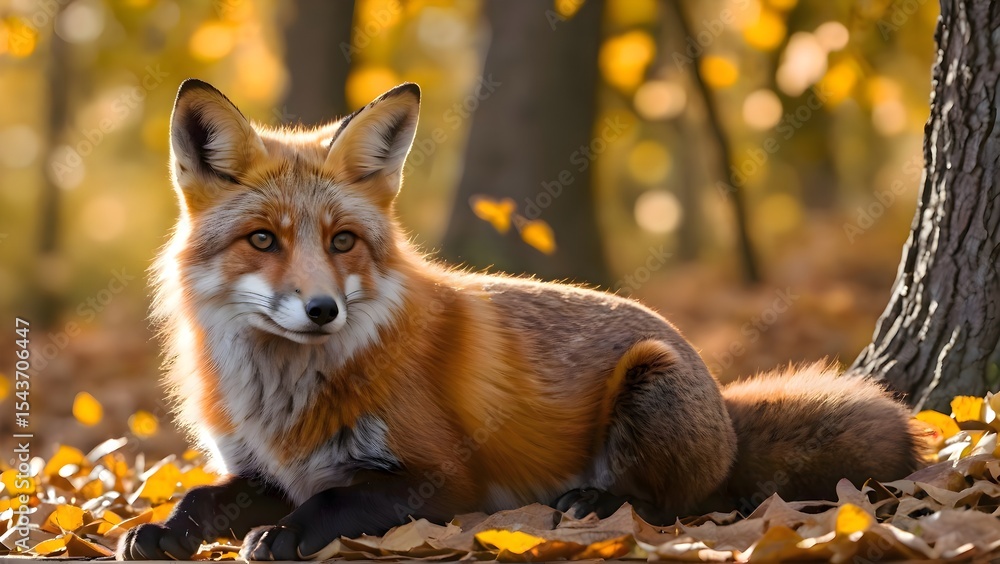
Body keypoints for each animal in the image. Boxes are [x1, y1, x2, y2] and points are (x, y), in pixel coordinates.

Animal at [117, 79, 922, 561]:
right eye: (264, 241)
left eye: (342, 242)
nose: (323, 309)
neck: (282, 398)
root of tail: (726, 406)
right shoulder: (262, 468)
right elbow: (200, 496)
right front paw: (161, 531)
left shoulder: (444, 480)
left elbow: (336, 502)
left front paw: (282, 536)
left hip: (651, 383)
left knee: (676, 502)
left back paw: (595, 501)